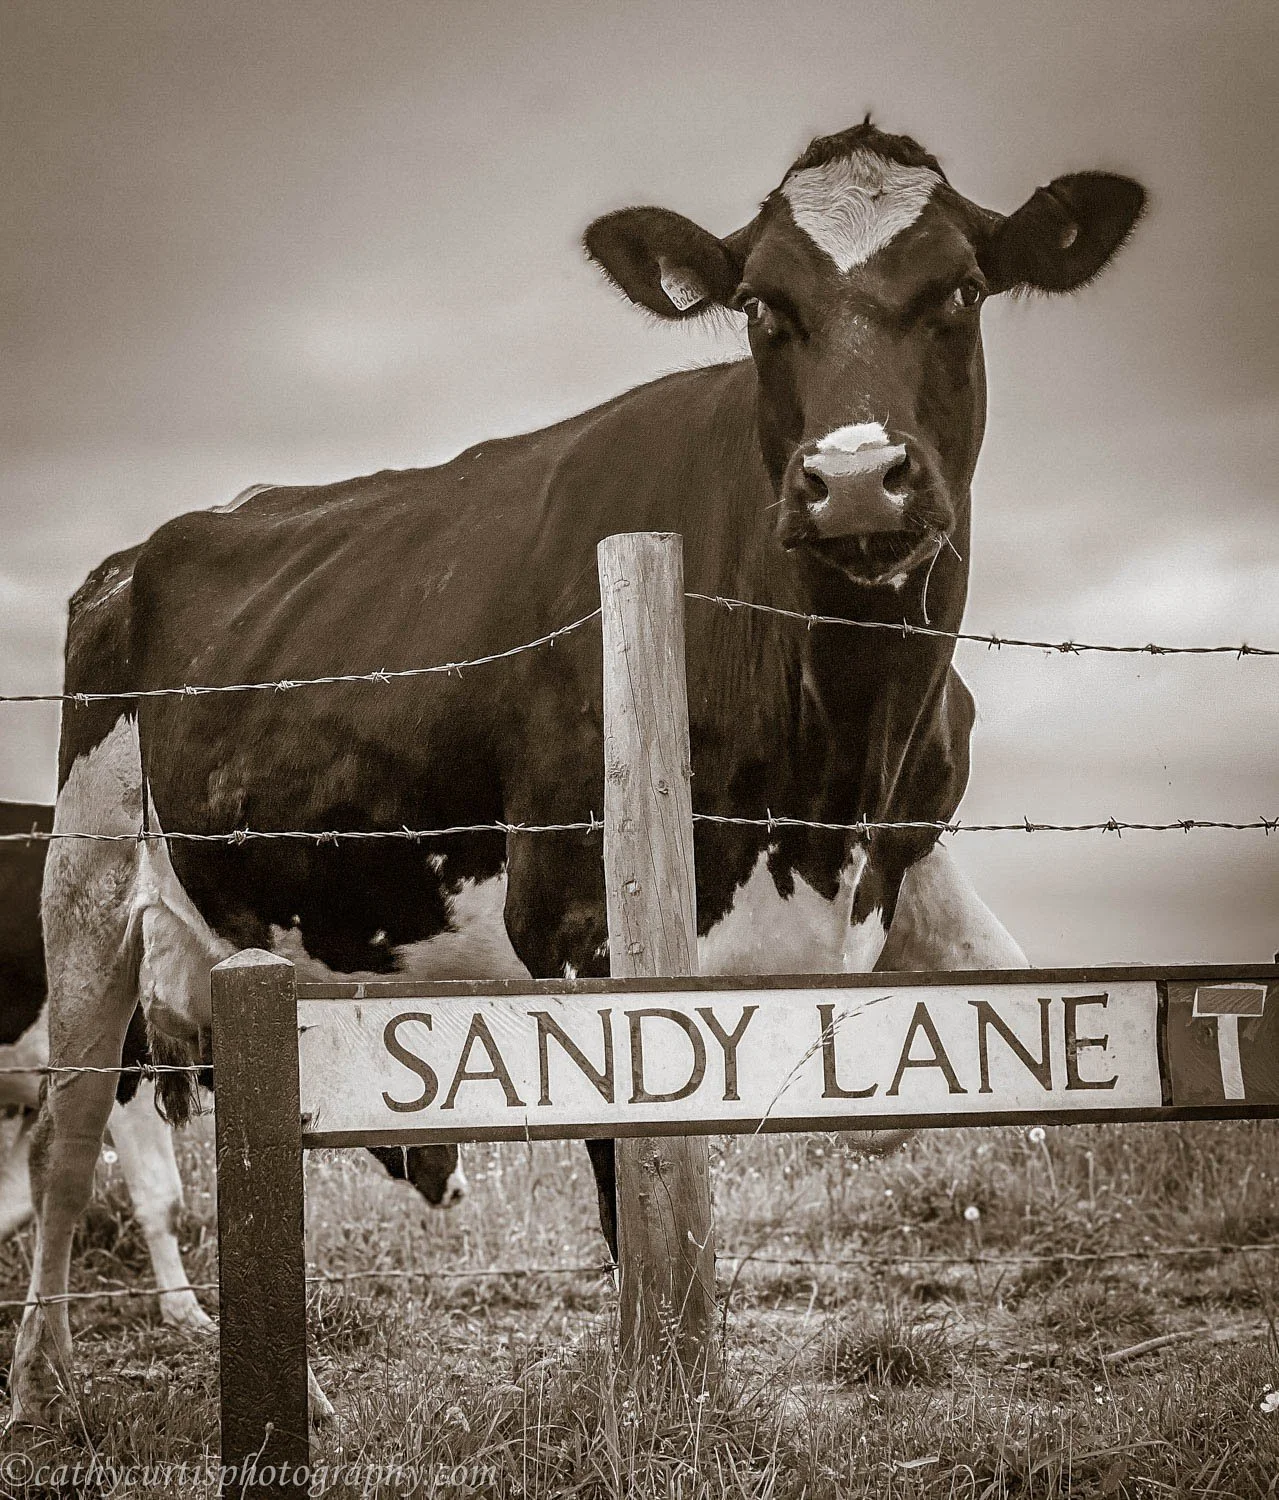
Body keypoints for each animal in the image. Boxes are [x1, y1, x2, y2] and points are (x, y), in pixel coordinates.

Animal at [7, 119, 1145, 1424]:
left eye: (961, 287)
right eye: (760, 306)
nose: (854, 478)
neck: (833, 769)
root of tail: (147, 547)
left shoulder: (908, 866)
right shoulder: (578, 922)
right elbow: (628, 1171)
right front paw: (662, 1402)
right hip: (87, 881)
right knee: (69, 1138)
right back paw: (40, 1381)